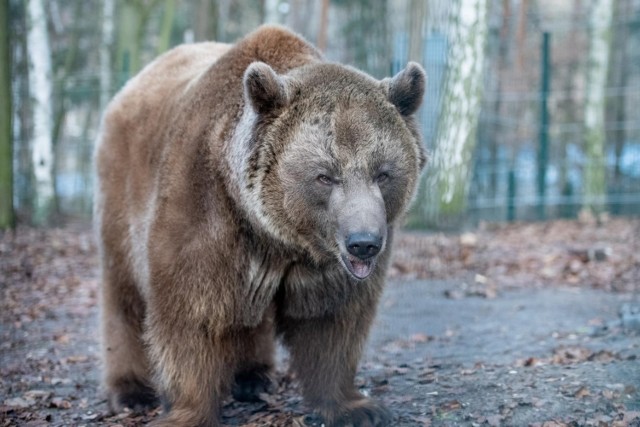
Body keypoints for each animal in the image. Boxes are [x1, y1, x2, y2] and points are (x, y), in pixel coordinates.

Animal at [94, 25, 424, 426]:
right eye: (325, 175)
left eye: (383, 173)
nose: (364, 242)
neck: (278, 235)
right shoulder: (203, 211)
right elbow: (191, 315)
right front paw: (188, 411)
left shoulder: (324, 263)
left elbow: (333, 320)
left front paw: (357, 406)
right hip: (121, 192)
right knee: (124, 295)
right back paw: (131, 392)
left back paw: (254, 377)